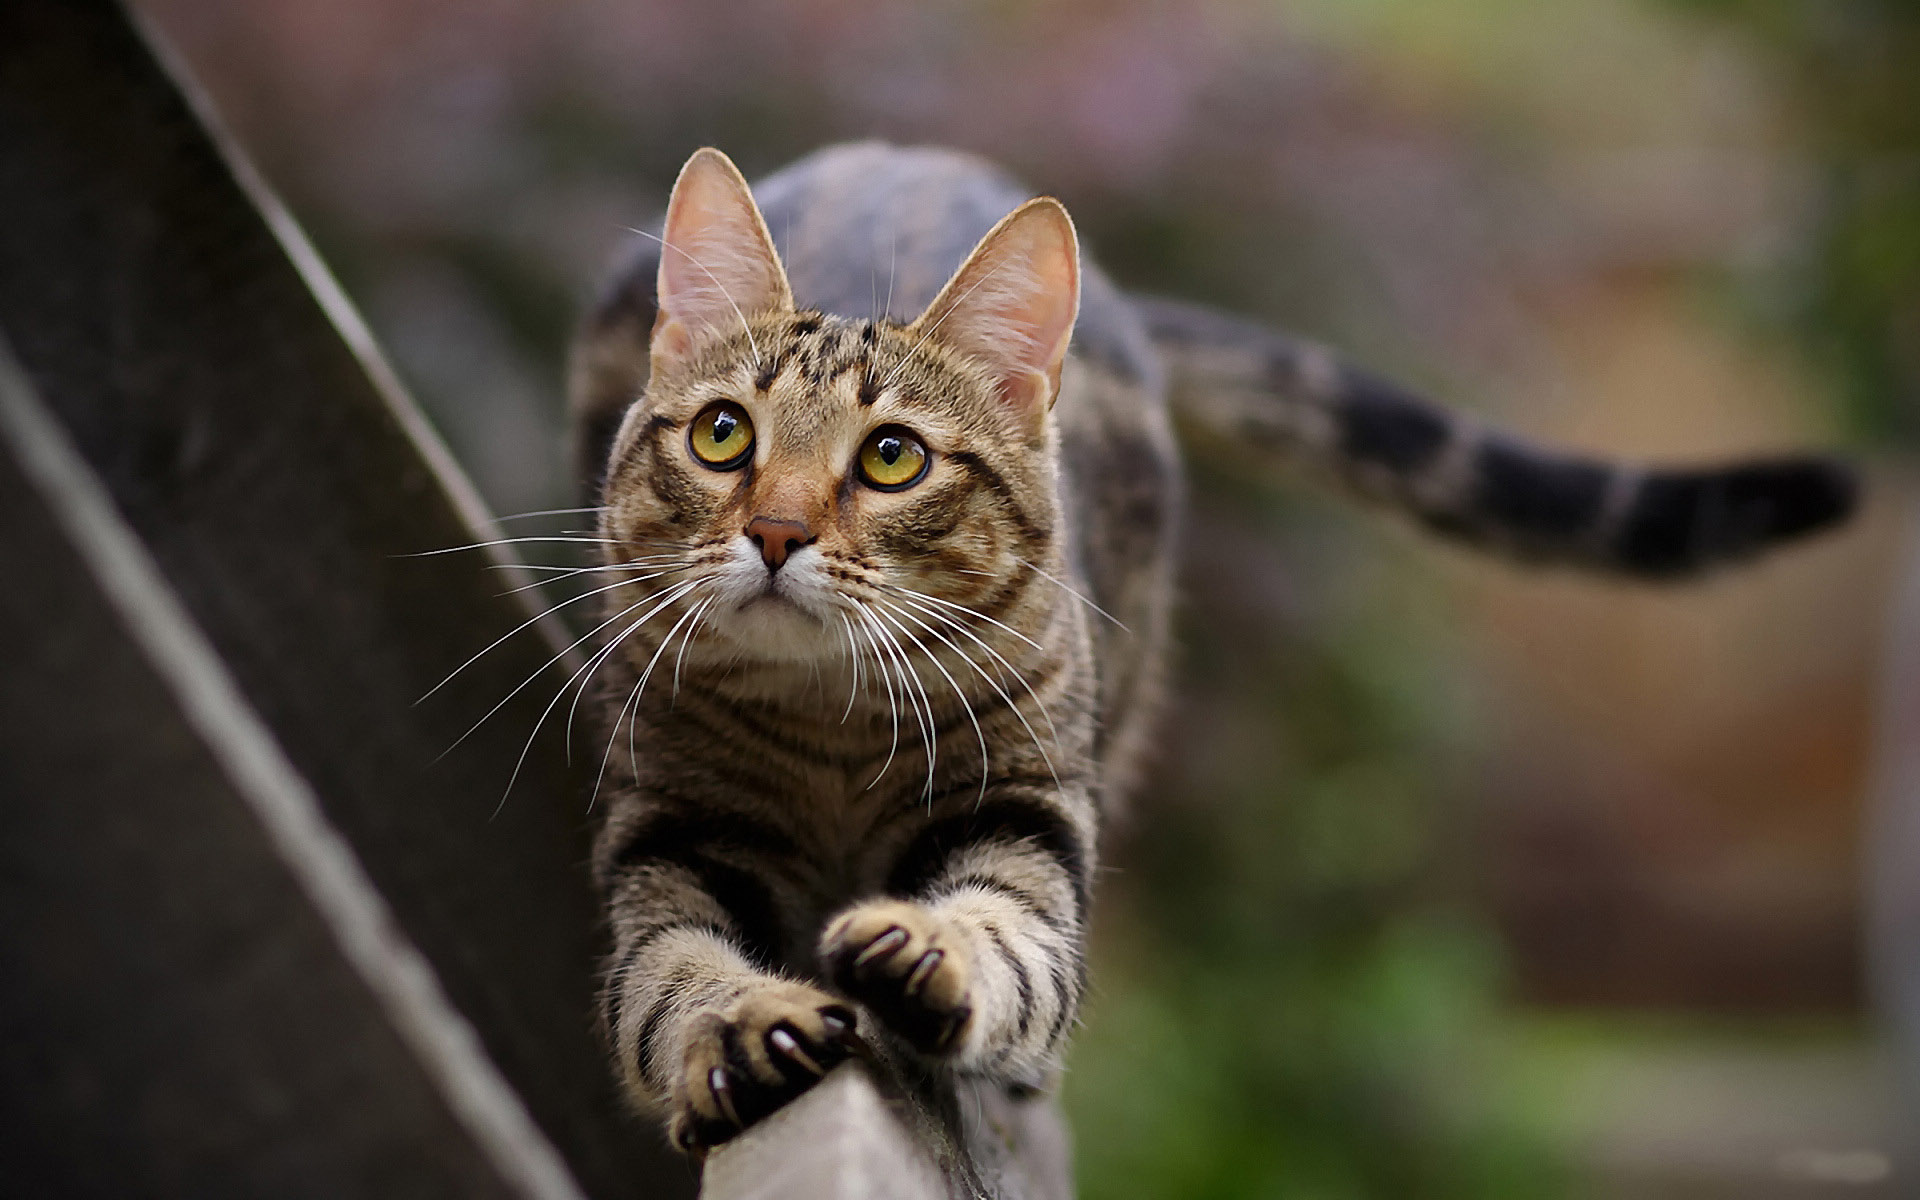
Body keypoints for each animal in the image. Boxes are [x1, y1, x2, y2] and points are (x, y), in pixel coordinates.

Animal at [560, 140, 1850, 1152]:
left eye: (891, 458)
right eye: (724, 435)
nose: (777, 532)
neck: (828, 726)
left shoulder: (1027, 807)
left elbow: (1017, 933)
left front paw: (937, 956)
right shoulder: (667, 827)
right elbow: (663, 968)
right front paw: (740, 1024)